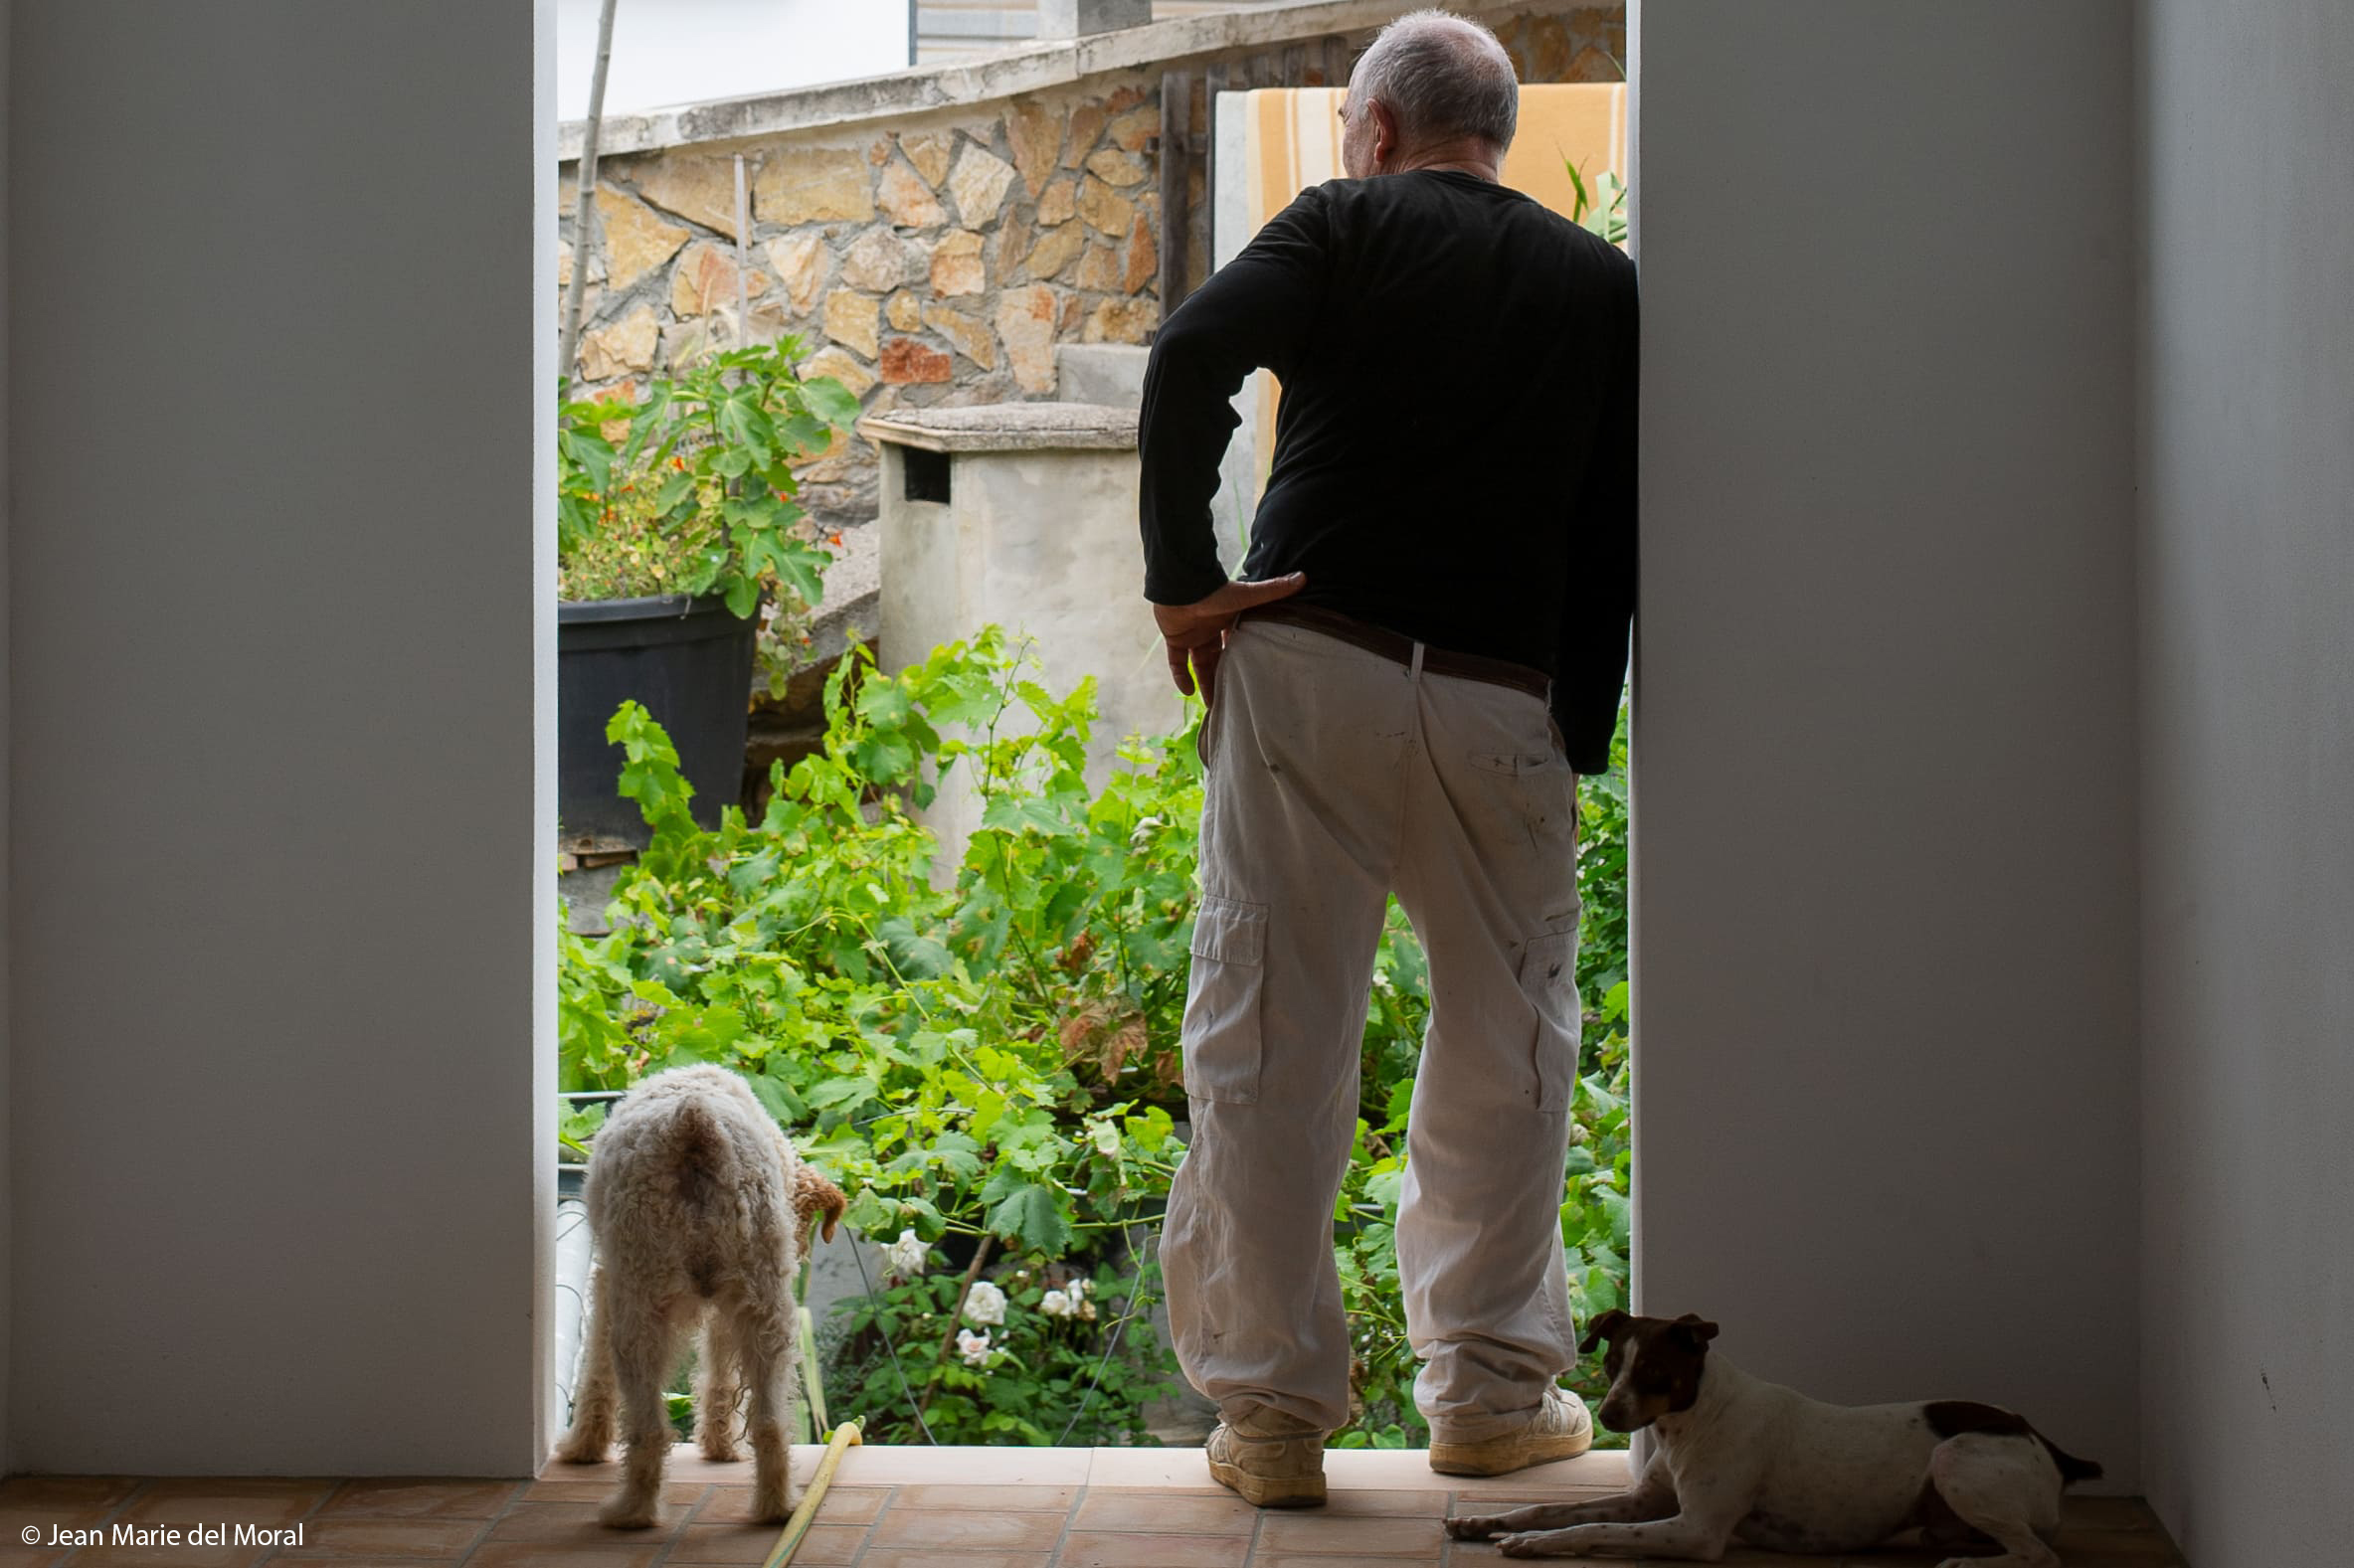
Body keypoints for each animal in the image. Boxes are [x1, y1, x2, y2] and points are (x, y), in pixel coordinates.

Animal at [554, 1065, 847, 1528]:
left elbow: (596, 1375)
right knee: (770, 1422)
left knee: (649, 1428)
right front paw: (722, 1446)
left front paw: (584, 1446)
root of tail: (694, 1123)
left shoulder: (606, 1282)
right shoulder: (731, 1301)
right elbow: (721, 1379)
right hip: (765, 1306)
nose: (799, 1254)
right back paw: (776, 1506)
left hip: (641, 1301)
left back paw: (631, 1512)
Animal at [1446, 1311, 2101, 1565]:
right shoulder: (1645, 1501)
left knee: (2038, 1554)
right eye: (1612, 1365)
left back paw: (1968, 1563)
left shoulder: (1697, 1531)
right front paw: (1483, 1523)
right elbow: (1550, 1507)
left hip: (1954, 1457)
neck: (1694, 1420)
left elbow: (1588, 1529)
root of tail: (2046, 1443)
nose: (1608, 1414)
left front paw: (1533, 1543)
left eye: (1655, 1371)